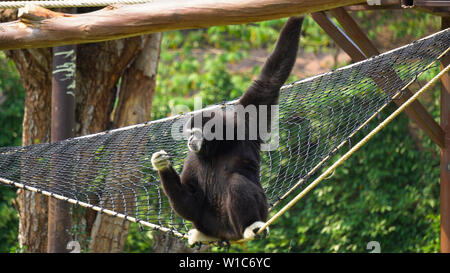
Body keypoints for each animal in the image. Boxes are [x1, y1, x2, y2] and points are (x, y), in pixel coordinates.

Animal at [152, 16, 306, 244]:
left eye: (193, 133)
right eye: (188, 134)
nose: (189, 141)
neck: (219, 146)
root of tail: (228, 234)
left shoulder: (246, 121)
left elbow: (268, 81)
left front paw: (298, 16)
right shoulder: (193, 157)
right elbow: (191, 201)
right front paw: (161, 164)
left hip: (259, 211)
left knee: (236, 182)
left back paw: (251, 226)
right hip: (213, 224)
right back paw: (204, 234)